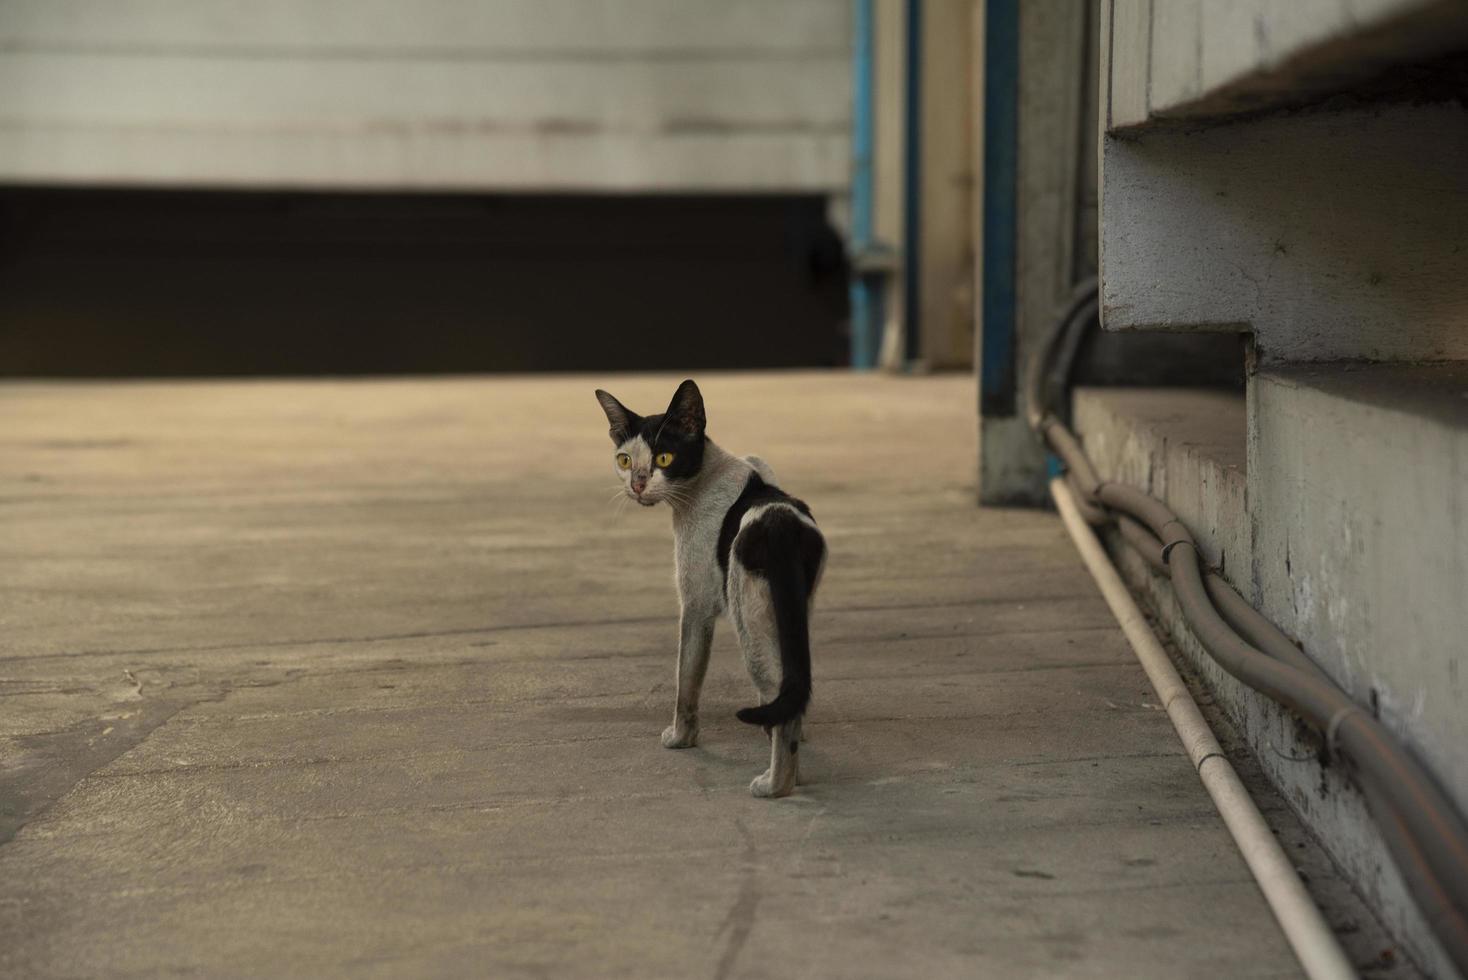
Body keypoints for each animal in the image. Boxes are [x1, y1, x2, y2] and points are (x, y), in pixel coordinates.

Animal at [596, 378, 827, 798]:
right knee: (791, 692)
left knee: (780, 708)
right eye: (624, 461)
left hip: (749, 626)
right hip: (791, 617)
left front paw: (680, 739)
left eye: (664, 459)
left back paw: (774, 785)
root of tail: (780, 525)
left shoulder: (696, 605)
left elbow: (685, 681)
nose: (637, 484)